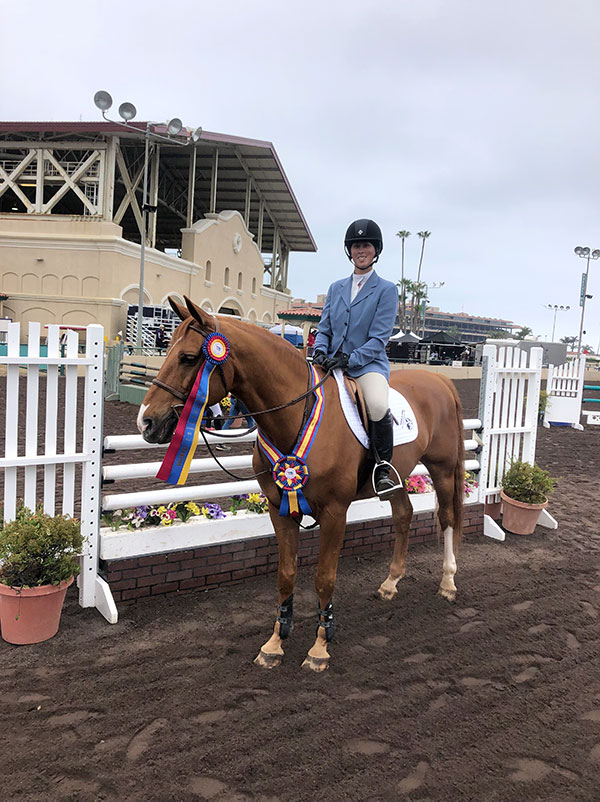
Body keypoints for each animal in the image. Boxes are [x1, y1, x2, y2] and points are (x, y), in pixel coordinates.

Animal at [136, 296, 464, 668]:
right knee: (403, 514)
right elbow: (286, 575)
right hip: (396, 476)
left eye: (189, 357)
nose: (146, 422)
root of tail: (439, 380)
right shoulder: (279, 509)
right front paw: (275, 643)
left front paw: (320, 647)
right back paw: (390, 583)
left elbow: (324, 578)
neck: (297, 414)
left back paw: (448, 583)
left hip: (442, 469)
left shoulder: (335, 513)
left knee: (448, 519)